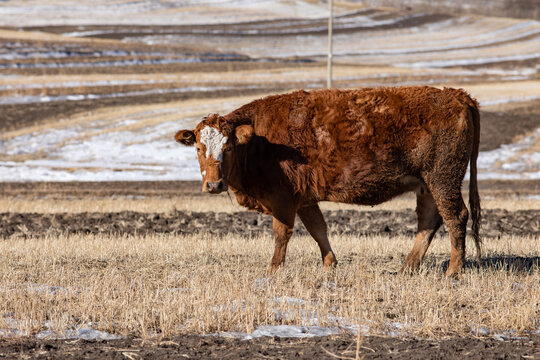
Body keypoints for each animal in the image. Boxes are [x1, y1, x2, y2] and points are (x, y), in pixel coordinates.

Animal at [174, 86, 480, 276]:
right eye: (198, 148)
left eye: (227, 147)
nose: (214, 185)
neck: (260, 141)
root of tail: (456, 95)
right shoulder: (305, 198)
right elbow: (318, 229)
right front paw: (330, 265)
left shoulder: (283, 198)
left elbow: (281, 234)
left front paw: (273, 270)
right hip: (427, 184)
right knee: (429, 221)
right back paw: (408, 268)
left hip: (442, 177)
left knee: (455, 216)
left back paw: (453, 270)